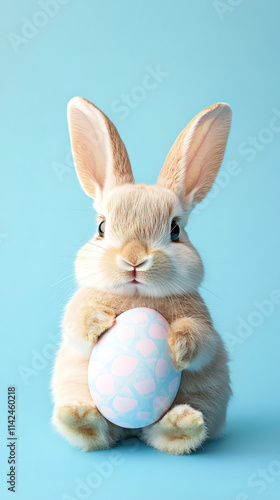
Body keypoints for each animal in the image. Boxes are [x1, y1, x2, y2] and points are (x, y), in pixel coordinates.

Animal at [51, 95, 231, 456]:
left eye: (175, 230)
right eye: (101, 227)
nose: (133, 260)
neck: (137, 298)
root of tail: (131, 431)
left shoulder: (204, 324)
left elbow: (201, 340)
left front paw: (177, 344)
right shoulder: (75, 313)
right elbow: (78, 323)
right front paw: (100, 321)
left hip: (206, 400)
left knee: (167, 434)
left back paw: (182, 424)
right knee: (99, 433)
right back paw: (78, 417)